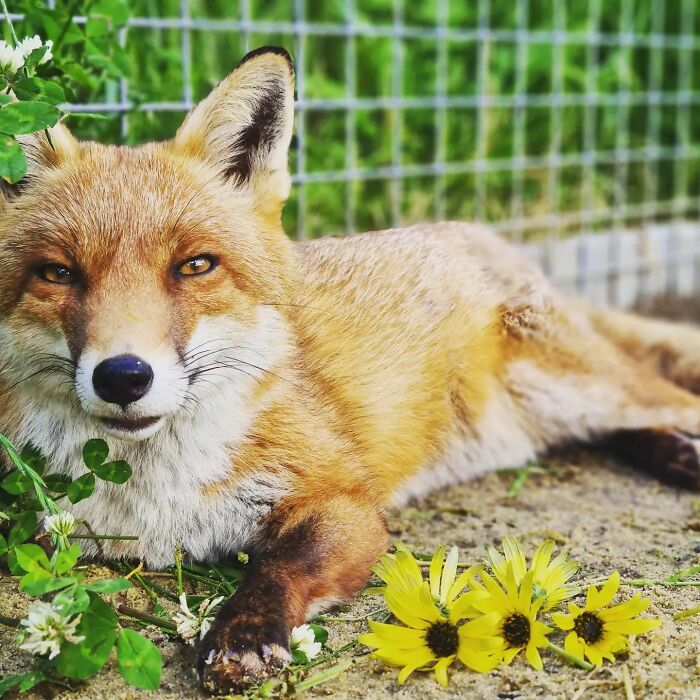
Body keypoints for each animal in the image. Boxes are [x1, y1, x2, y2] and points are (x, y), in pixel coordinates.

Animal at [2, 45, 700, 693]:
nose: (123, 376)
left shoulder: (345, 504)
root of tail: (482, 236)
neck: (152, 494)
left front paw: (242, 635)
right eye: (58, 273)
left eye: (195, 266)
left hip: (580, 386)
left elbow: (278, 566)